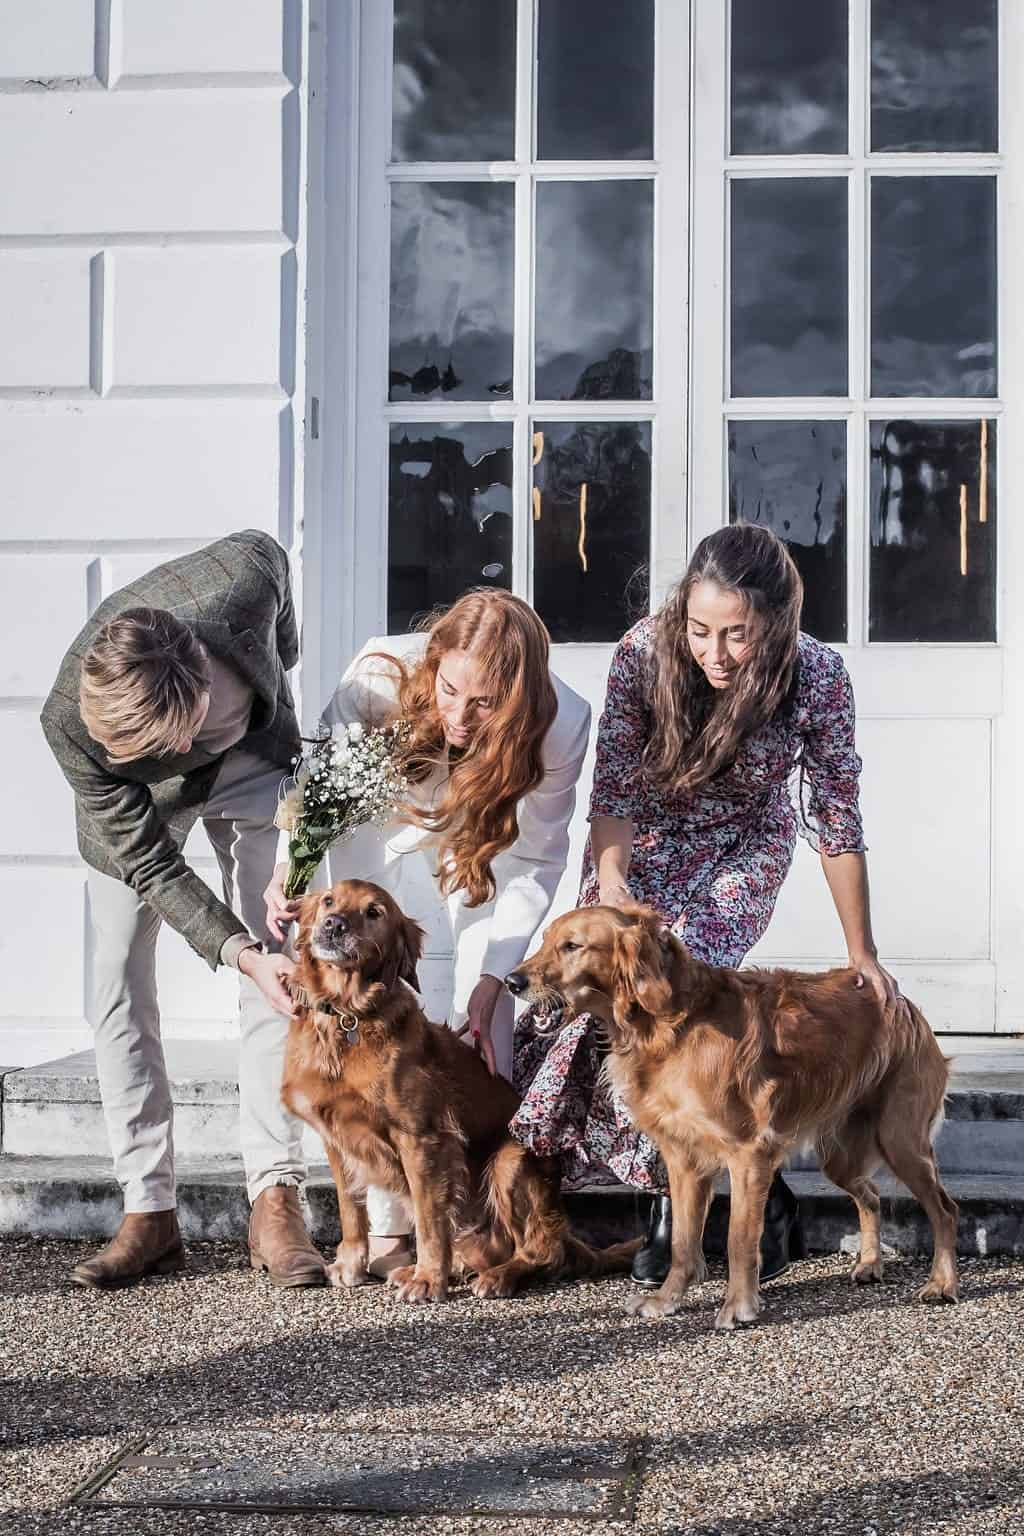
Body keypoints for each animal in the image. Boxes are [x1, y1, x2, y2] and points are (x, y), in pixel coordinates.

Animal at [282, 884, 641, 1302]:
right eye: (328, 901)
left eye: (374, 912)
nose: (334, 925)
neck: (348, 1015)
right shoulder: (336, 1137)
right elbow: (350, 1210)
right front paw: (351, 1264)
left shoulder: (422, 1138)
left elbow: (429, 1221)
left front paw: (427, 1279)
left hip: (509, 1162)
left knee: (540, 1251)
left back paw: (497, 1276)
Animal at [509, 903, 964, 1327]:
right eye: (546, 940)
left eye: (572, 946)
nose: (514, 981)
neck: (671, 1024)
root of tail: (902, 1002)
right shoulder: (683, 1157)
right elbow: (683, 1241)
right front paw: (667, 1299)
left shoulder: (747, 1153)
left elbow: (738, 1238)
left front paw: (738, 1306)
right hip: (841, 1157)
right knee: (870, 1195)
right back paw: (870, 1263)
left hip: (900, 1140)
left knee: (944, 1210)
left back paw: (942, 1283)